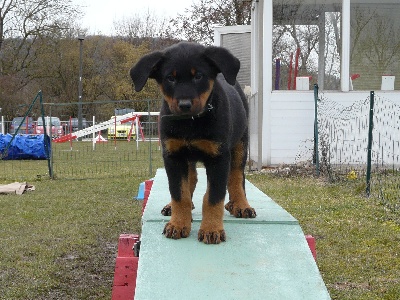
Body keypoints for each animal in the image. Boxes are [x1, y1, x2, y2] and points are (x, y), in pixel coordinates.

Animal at [131, 42, 256, 244]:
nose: (184, 105)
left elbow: (213, 197)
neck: (190, 123)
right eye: (170, 78)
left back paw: (241, 205)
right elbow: (179, 194)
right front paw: (178, 224)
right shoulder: (173, 156)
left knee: (237, 177)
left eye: (198, 76)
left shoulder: (219, 158)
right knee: (192, 179)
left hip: (240, 145)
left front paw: (211, 229)